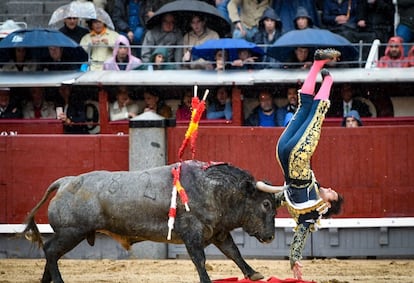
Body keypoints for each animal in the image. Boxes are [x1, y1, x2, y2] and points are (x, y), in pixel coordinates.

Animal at [21, 161, 276, 282]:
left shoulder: (217, 232)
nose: (271, 237)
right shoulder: (192, 232)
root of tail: (65, 181)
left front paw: (254, 274)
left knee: (51, 252)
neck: (211, 188)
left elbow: (234, 252)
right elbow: (199, 260)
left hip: (71, 234)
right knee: (51, 250)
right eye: (266, 204)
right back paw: (58, 281)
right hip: (72, 232)